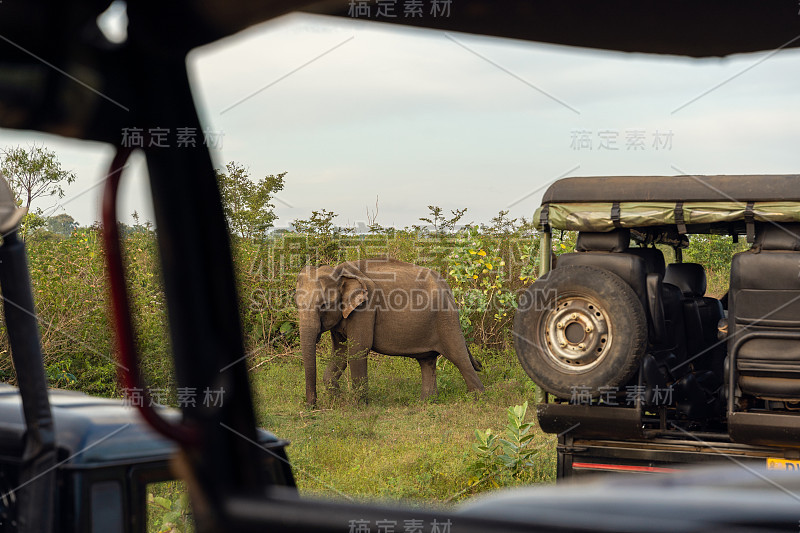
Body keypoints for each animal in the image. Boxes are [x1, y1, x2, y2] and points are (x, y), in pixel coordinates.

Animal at [294, 258, 482, 404]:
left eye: (323, 305)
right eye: (297, 304)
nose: (311, 406)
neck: (339, 272)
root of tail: (448, 288)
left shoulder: (365, 309)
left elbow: (358, 349)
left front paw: (357, 406)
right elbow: (340, 351)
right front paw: (338, 400)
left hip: (446, 319)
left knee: (458, 356)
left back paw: (476, 400)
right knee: (427, 361)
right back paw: (426, 402)